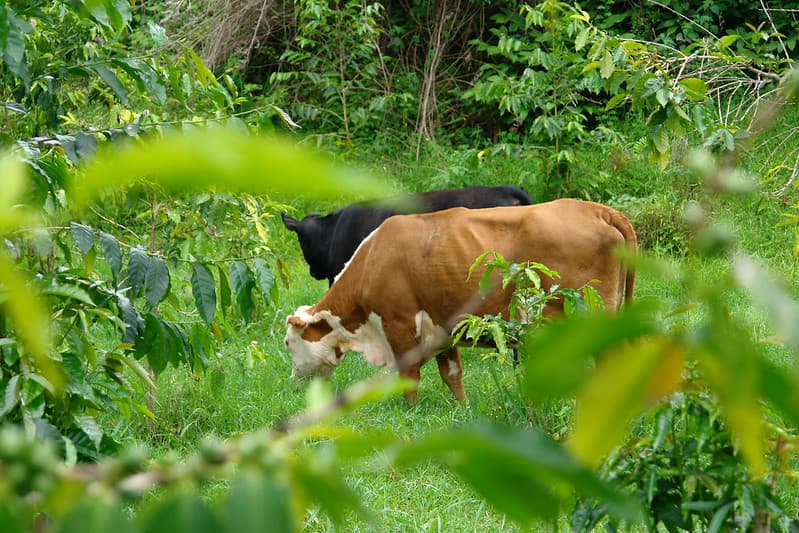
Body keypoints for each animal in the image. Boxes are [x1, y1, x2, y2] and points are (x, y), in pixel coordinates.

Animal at [284, 199, 636, 403]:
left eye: (288, 344)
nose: (293, 381)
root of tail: (598, 210)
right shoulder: (442, 327)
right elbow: (452, 373)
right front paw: (463, 407)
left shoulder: (399, 323)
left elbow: (408, 376)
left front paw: (410, 410)